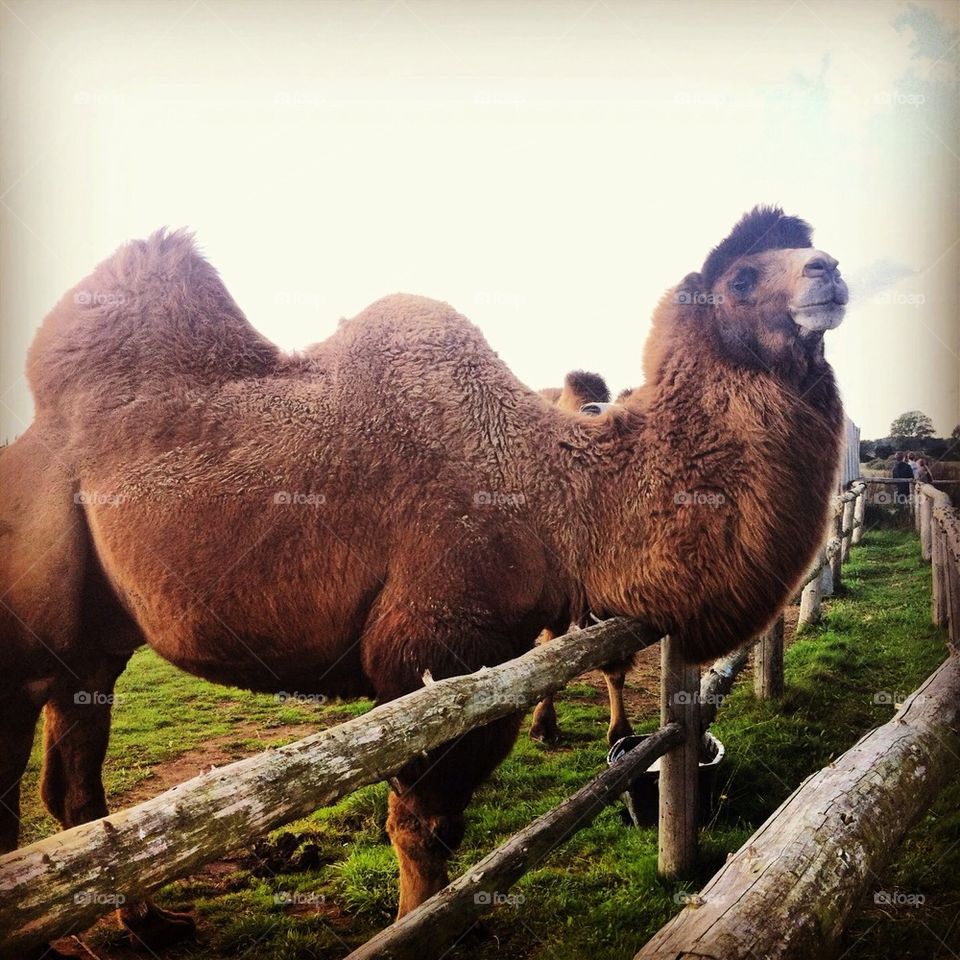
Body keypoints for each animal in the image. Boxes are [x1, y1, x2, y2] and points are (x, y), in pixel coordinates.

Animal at [0, 206, 846, 946]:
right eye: (742, 275)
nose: (831, 268)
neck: (560, 493)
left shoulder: (500, 658)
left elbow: (445, 821)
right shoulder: (432, 654)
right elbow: (421, 825)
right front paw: (416, 926)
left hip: (98, 642)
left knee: (76, 783)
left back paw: (152, 924)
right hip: (28, 616)